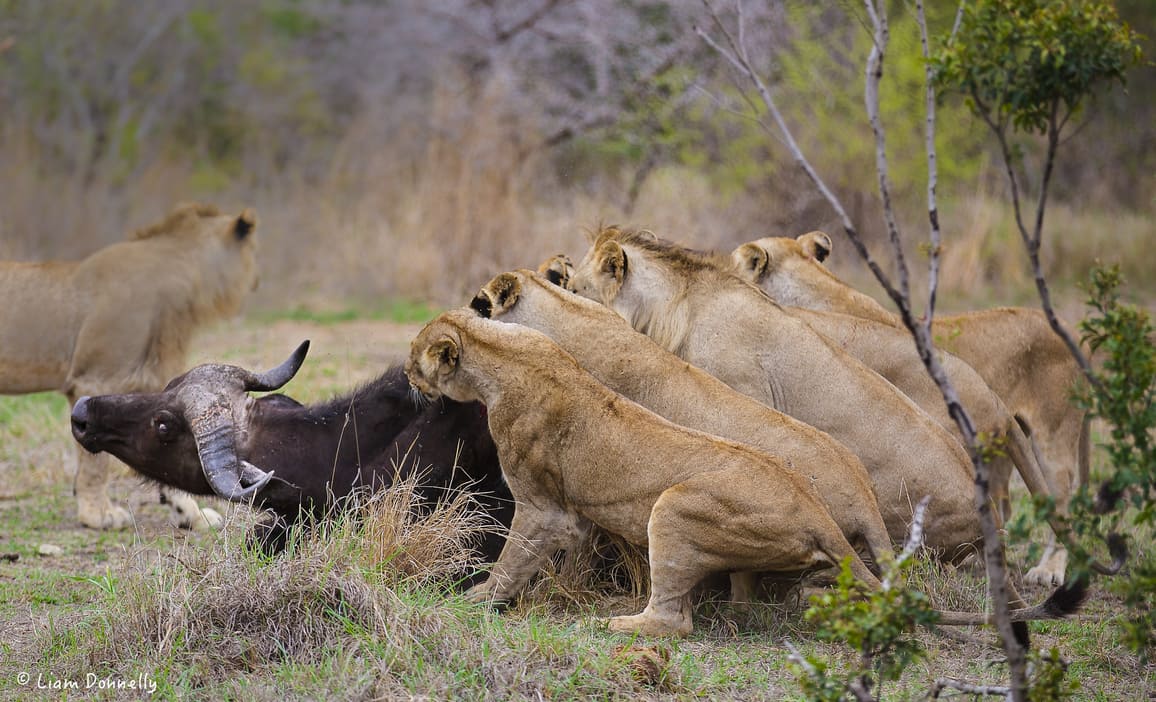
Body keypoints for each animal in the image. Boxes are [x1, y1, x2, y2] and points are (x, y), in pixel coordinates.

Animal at [409, 309, 1082, 638]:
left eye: (417, 359)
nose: (412, 379)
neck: (502, 352)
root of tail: (815, 509)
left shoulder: (543, 507)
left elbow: (513, 558)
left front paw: (475, 600)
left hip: (675, 506)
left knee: (673, 621)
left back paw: (617, 622)